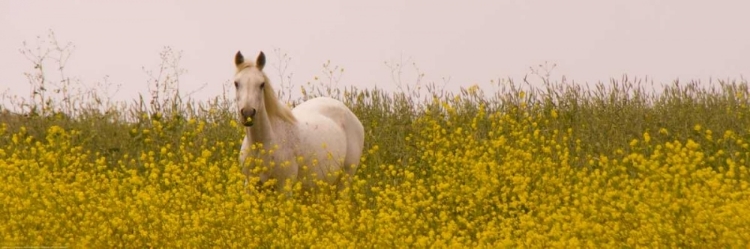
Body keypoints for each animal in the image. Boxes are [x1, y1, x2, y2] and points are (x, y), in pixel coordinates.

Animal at [234, 50, 366, 191]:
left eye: (262, 84)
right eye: (236, 83)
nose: (248, 113)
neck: (262, 143)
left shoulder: (284, 187)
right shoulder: (249, 185)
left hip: (345, 179)